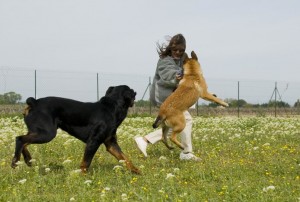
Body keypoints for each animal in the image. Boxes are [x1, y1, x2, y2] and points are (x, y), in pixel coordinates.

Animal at [10, 84, 139, 174]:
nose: (135, 92)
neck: (111, 107)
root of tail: (34, 102)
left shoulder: (111, 143)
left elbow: (125, 158)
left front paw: (137, 171)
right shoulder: (94, 141)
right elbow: (86, 163)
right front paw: (83, 177)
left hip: (38, 131)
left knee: (24, 142)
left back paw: (28, 160)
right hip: (47, 133)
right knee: (20, 139)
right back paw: (15, 163)